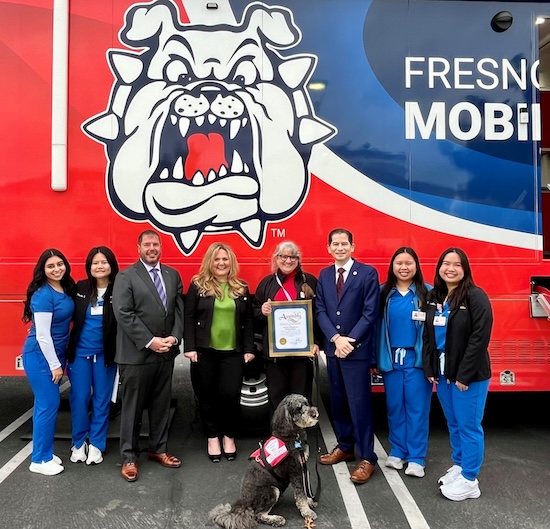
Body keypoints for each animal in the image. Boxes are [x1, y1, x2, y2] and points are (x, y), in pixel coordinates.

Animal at [211, 394, 324, 528]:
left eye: (307, 403)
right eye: (298, 408)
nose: (315, 414)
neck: (293, 435)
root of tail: (244, 502)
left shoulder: (302, 466)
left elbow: (304, 491)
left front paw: (310, 501)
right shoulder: (295, 470)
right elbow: (300, 494)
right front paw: (307, 512)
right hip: (272, 490)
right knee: (258, 515)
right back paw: (276, 519)